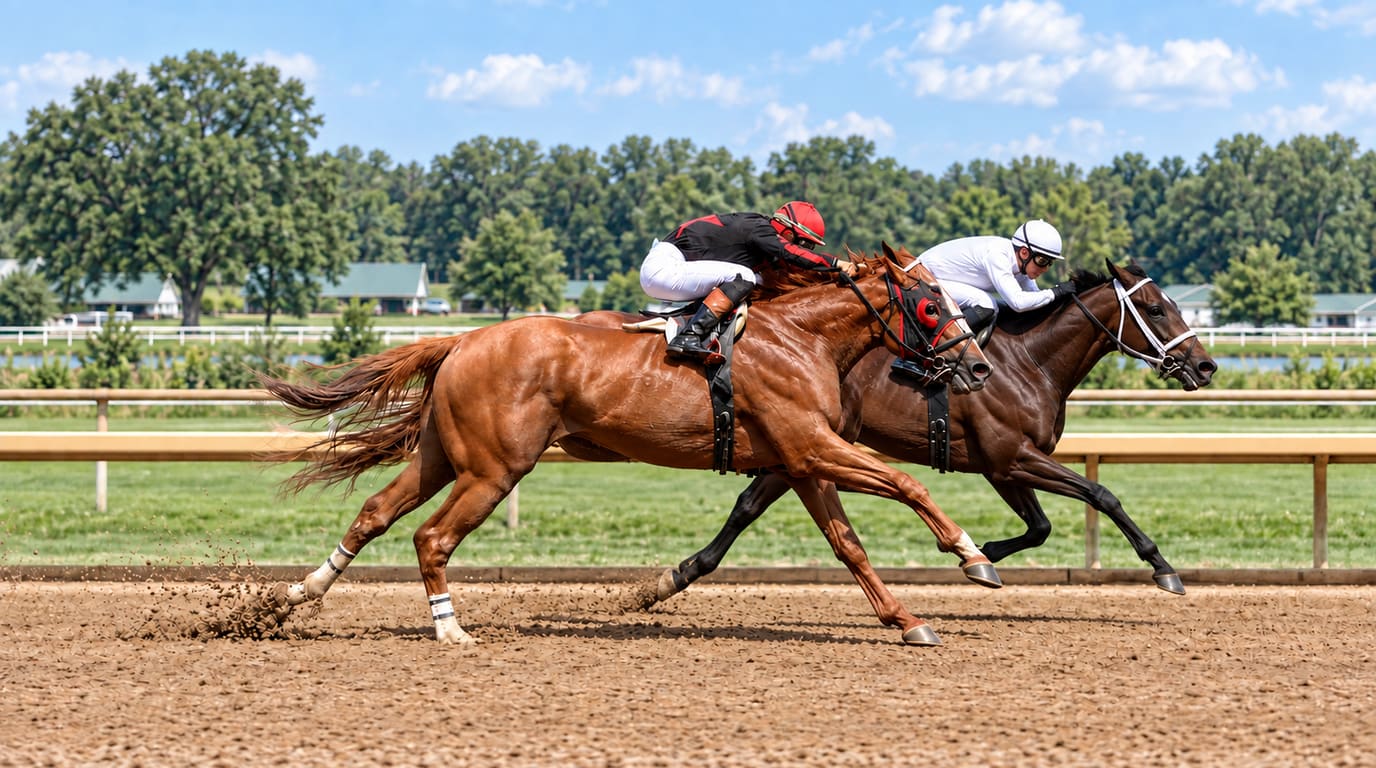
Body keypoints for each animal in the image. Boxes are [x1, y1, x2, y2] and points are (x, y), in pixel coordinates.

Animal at [262, 244, 994, 646]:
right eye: (931, 305)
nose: (979, 368)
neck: (802, 337)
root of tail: (465, 339)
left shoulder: (801, 459)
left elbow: (849, 546)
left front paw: (906, 619)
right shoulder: (812, 447)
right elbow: (907, 483)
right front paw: (972, 555)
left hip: (445, 457)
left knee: (375, 514)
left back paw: (294, 596)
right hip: (494, 469)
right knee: (431, 537)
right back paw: (448, 627)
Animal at [634, 259, 1217, 609]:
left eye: (1175, 304)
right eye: (1156, 308)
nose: (1206, 366)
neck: (1032, 361)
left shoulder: (1001, 467)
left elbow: (1040, 526)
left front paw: (982, 551)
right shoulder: (1011, 456)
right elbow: (1102, 493)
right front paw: (1163, 568)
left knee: (748, 504)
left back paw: (682, 573)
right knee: (750, 505)